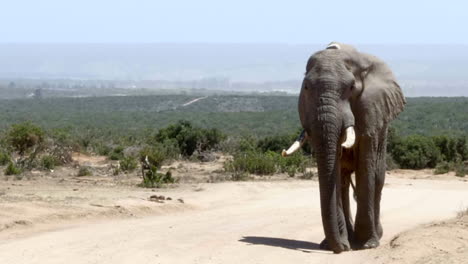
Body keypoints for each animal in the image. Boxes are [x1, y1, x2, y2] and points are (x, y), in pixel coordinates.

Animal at [282, 42, 406, 253]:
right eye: (306, 87)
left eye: (351, 87)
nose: (341, 248)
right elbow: (336, 171)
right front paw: (334, 244)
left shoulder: (370, 109)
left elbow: (366, 167)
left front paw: (367, 244)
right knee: (345, 181)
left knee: (378, 177)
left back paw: (374, 235)